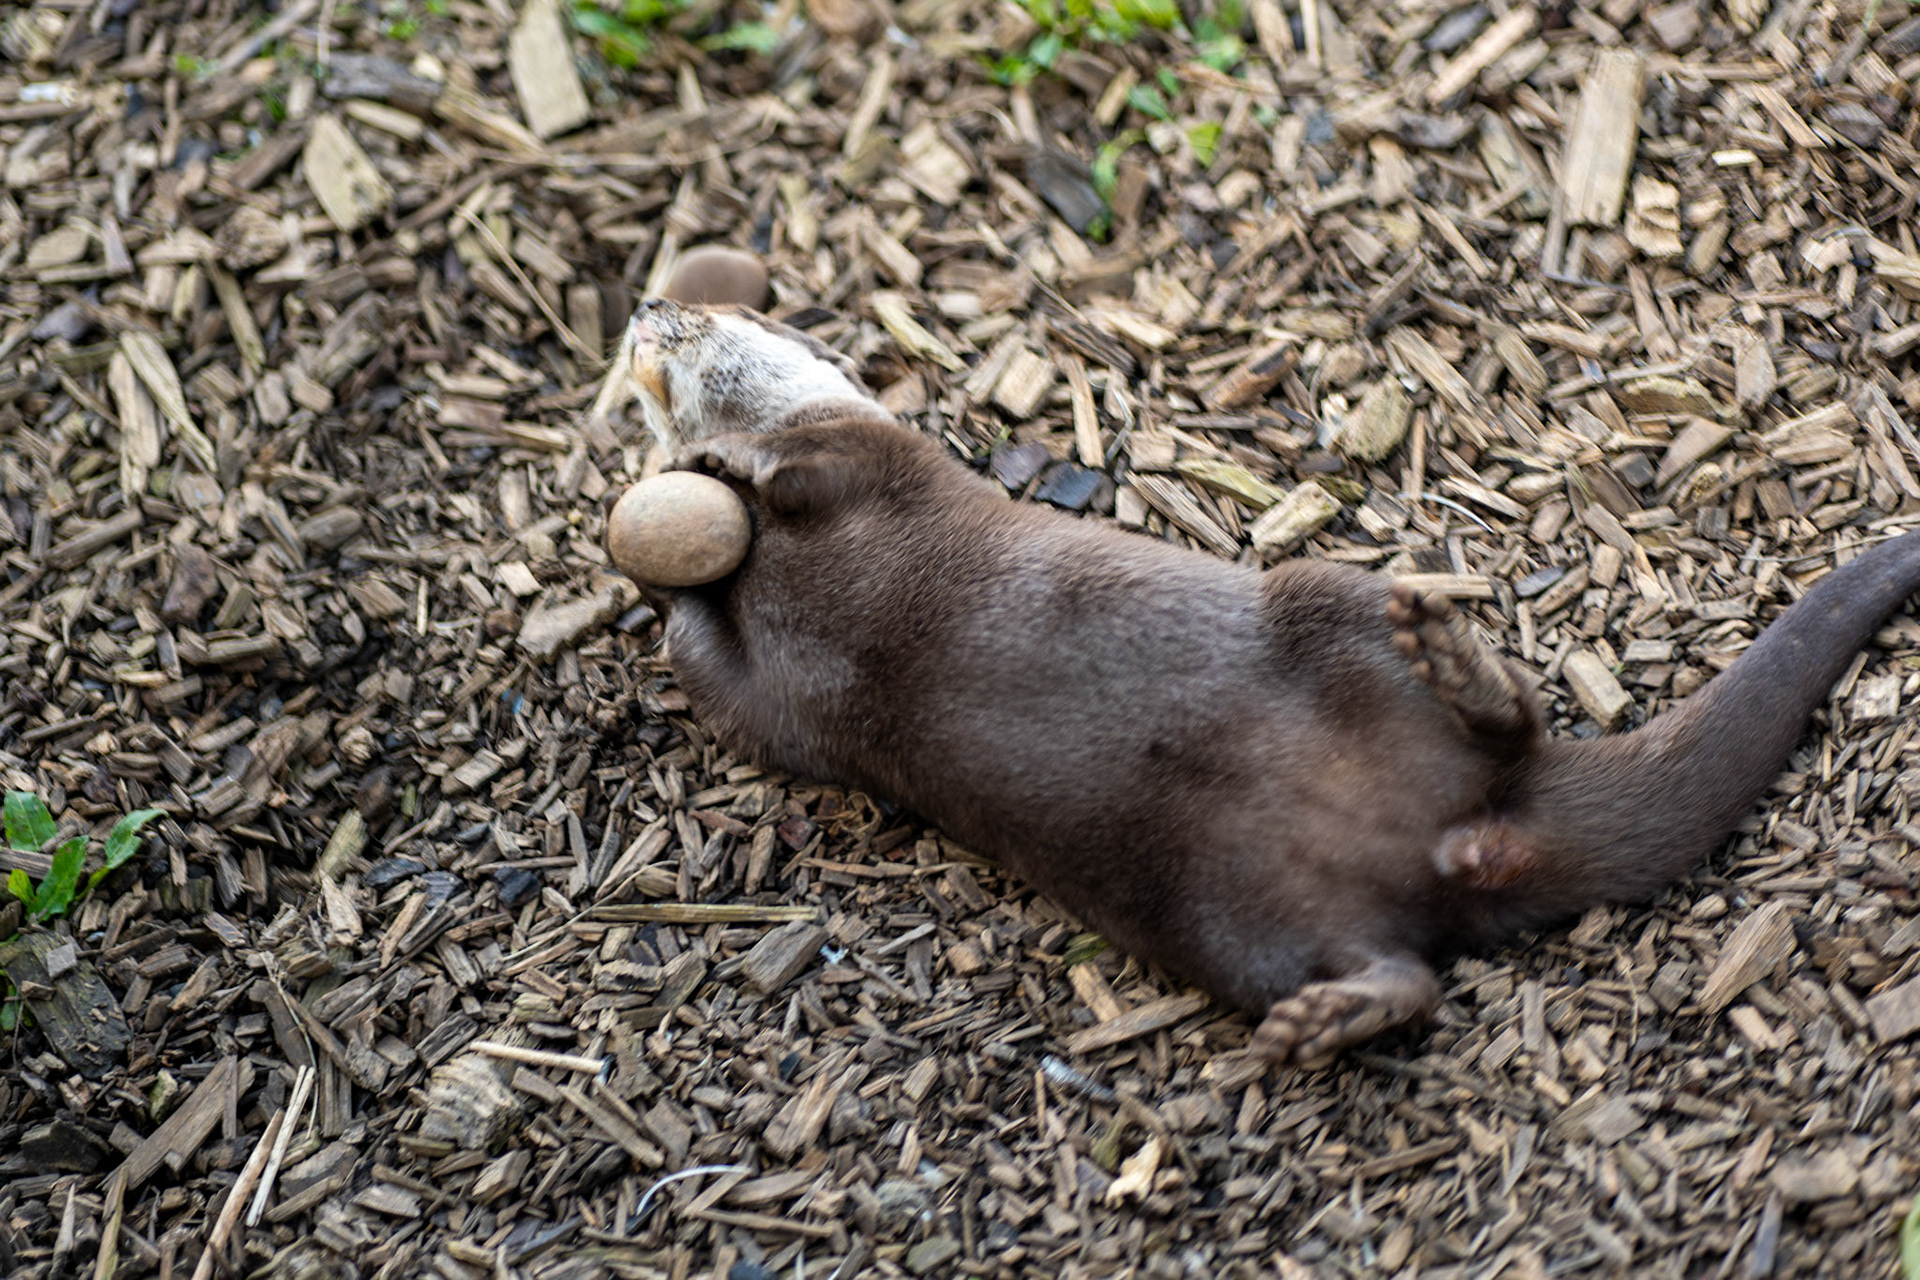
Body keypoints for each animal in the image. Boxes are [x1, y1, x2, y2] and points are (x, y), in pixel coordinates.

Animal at [615, 297, 1920, 1066]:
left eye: (716, 307)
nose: (644, 309)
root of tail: (1468, 836)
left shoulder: (876, 461)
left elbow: (802, 467)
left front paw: (716, 459)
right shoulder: (783, 704)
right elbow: (718, 671)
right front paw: (657, 554)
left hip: (1318, 601)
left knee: (1515, 719)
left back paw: (1454, 656)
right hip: (1228, 924)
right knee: (1403, 973)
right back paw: (1335, 1012)